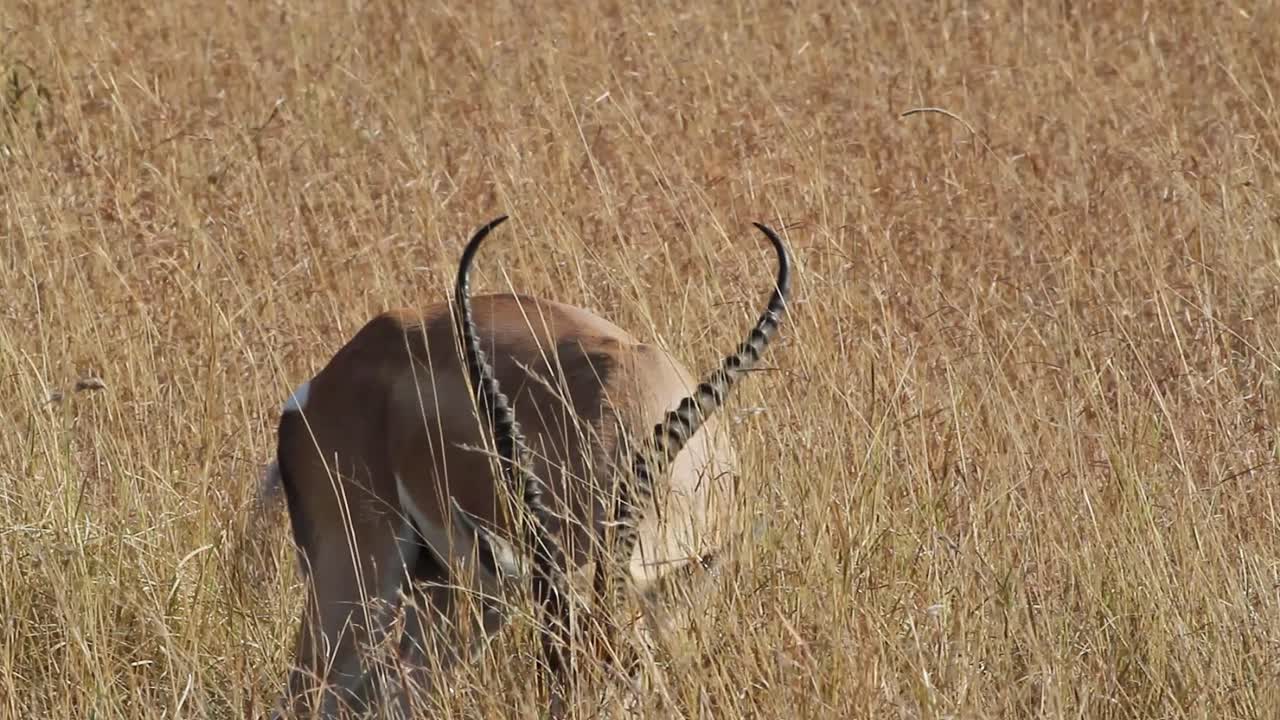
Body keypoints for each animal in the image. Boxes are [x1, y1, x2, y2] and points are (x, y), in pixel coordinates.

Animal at [268, 216, 791, 718]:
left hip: (454, 594)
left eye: (630, 668)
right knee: (308, 696)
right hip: (358, 584)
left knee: (390, 692)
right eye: (548, 663)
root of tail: (319, 384)